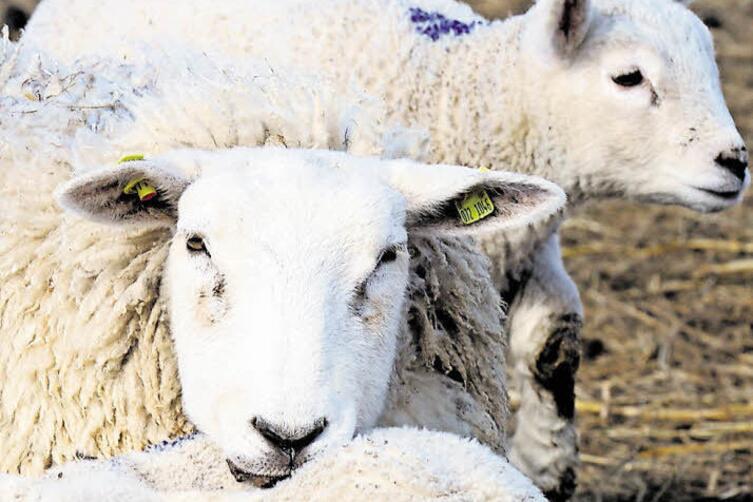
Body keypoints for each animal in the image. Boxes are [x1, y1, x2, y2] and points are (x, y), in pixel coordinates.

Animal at [16, 0, 748, 494]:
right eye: (629, 78)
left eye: (389, 257)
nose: (735, 160)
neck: (462, 88)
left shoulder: (529, 251)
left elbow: (553, 343)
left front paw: (549, 464)